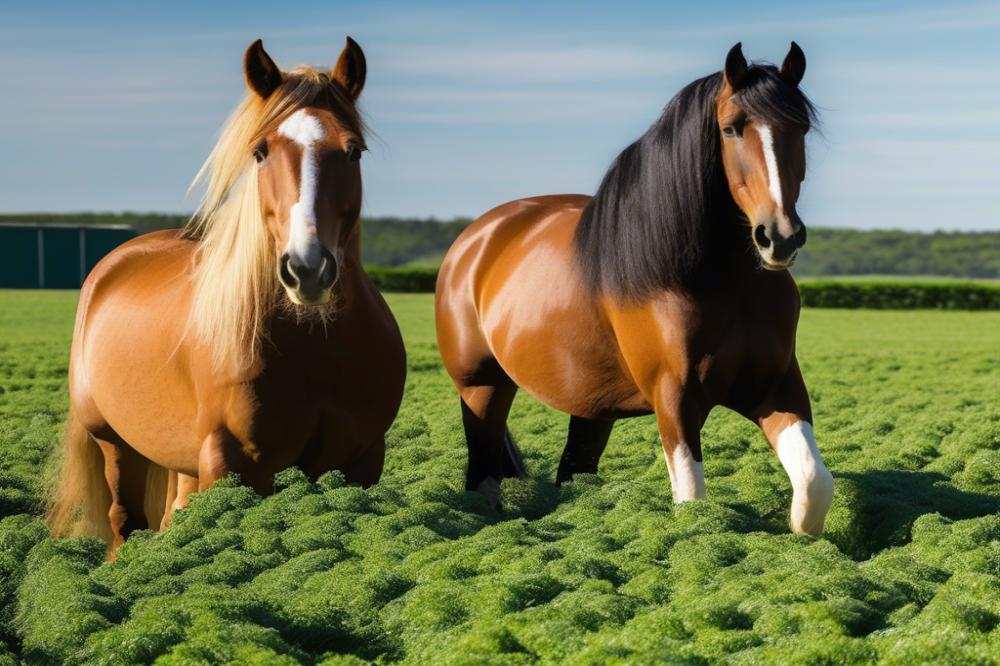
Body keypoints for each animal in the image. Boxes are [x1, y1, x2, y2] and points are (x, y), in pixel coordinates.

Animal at [50, 39, 406, 552]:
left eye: (354, 151)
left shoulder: (359, 460)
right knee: (125, 523)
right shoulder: (234, 462)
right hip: (114, 443)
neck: (313, 347)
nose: (307, 268)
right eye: (260, 151)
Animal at [438, 42, 836, 536]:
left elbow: (814, 485)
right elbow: (692, 501)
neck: (720, 281)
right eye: (730, 128)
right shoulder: (675, 401)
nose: (779, 236)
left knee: (574, 471)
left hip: (590, 408)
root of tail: (475, 240)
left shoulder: (776, 388)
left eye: (800, 128)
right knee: (482, 475)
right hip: (482, 389)